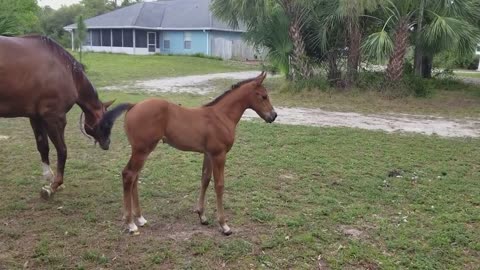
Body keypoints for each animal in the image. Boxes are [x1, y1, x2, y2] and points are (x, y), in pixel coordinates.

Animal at [0, 35, 115, 198]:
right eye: (106, 124)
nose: (107, 143)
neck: (67, 71)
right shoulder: (55, 119)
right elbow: (62, 150)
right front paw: (54, 185)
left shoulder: (36, 117)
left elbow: (43, 146)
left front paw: (50, 178)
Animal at [99, 71, 276, 234]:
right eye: (264, 96)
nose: (273, 116)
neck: (221, 116)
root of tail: (133, 105)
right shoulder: (219, 154)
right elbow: (219, 185)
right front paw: (224, 225)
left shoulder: (208, 154)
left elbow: (205, 179)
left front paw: (202, 216)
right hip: (142, 150)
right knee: (128, 175)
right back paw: (130, 224)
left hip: (142, 151)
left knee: (134, 177)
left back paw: (140, 218)